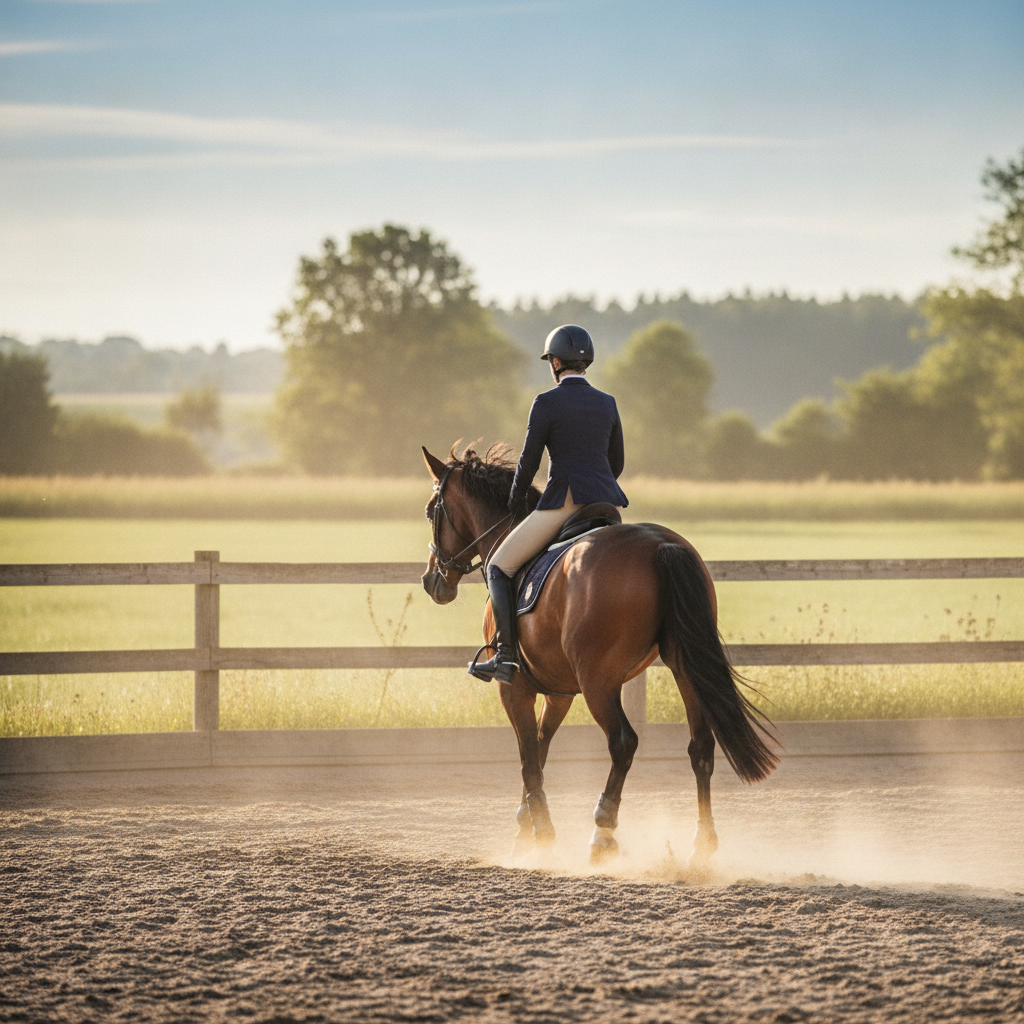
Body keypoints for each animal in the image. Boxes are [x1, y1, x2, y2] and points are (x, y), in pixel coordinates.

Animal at [421, 443, 778, 865]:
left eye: (431, 511)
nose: (431, 580)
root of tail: (660, 545)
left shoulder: (514, 688)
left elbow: (529, 758)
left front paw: (541, 836)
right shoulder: (558, 692)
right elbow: (540, 748)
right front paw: (526, 827)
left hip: (598, 682)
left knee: (623, 742)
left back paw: (602, 834)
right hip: (684, 667)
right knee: (701, 746)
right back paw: (701, 845)